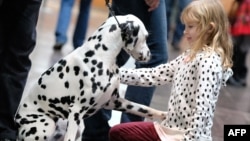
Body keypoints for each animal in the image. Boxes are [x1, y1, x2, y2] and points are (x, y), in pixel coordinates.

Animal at [14, 14, 167, 141]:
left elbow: (144, 109)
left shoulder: (115, 102)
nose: (150, 55)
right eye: (146, 37)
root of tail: (17, 121)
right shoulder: (76, 111)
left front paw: (166, 115)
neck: (100, 55)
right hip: (46, 126)